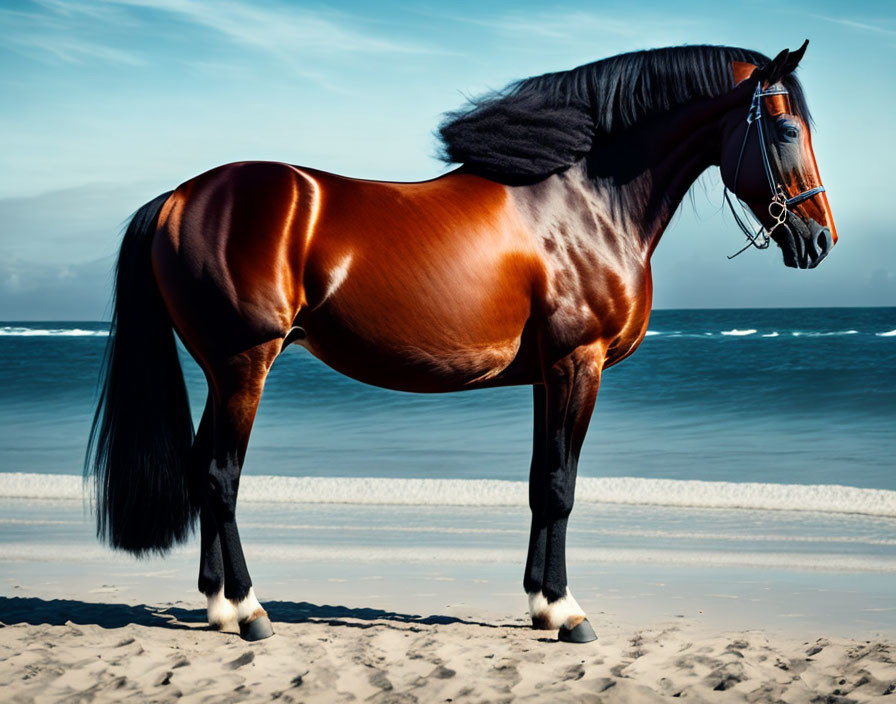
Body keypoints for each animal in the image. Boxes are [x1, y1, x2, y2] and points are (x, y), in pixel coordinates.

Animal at [87, 38, 836, 644]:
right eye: (786, 127)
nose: (820, 239)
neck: (585, 202)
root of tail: (177, 198)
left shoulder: (547, 373)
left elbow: (539, 482)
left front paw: (541, 603)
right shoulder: (579, 363)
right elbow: (561, 486)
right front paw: (568, 614)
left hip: (222, 369)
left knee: (201, 469)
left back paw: (217, 606)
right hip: (245, 362)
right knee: (220, 475)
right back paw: (248, 611)